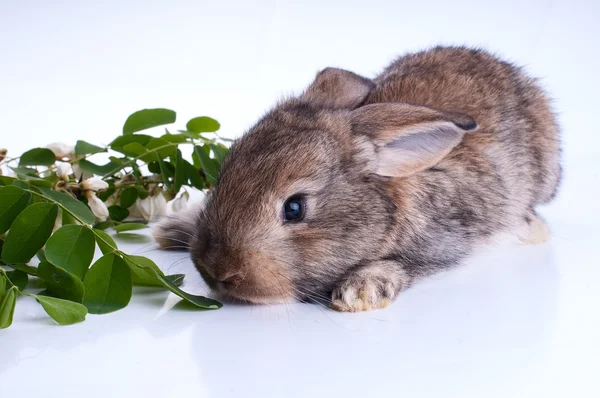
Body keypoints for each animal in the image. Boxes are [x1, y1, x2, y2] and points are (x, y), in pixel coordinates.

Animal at [154, 46, 564, 312]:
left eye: (294, 208)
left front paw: (360, 292)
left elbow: (407, 265)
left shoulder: (447, 241)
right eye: (224, 175)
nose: (216, 270)